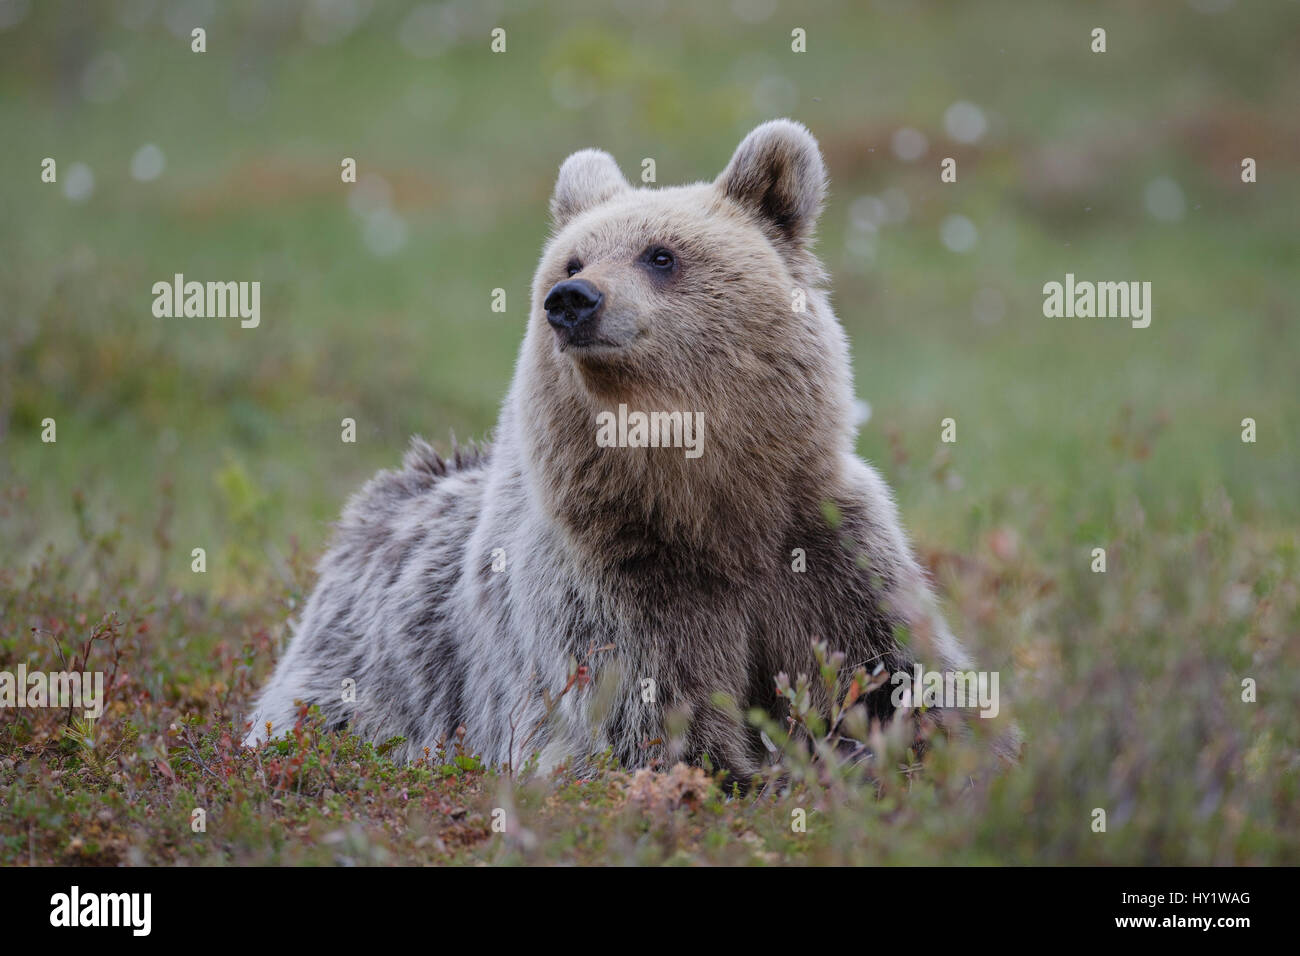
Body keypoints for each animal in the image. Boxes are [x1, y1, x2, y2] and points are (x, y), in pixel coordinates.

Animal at [245, 119, 1011, 780]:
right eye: (573, 256)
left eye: (660, 254)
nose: (572, 297)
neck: (712, 507)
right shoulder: (616, 585)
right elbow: (647, 725)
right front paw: (752, 774)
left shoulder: (825, 553)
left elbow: (897, 679)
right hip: (349, 684)